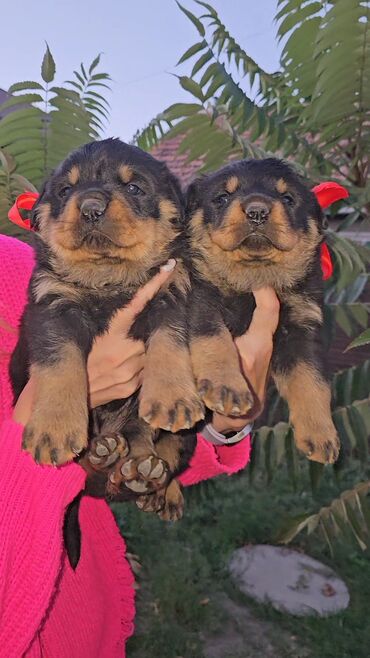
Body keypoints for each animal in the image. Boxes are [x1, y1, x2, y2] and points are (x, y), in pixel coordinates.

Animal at [10, 137, 202, 508]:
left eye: (133, 187)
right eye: (66, 190)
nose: (90, 207)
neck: (108, 279)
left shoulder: (172, 293)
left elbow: (169, 343)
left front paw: (172, 397)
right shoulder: (52, 306)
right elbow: (60, 364)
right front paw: (53, 428)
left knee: (152, 440)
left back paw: (145, 473)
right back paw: (109, 456)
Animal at [186, 158, 340, 462]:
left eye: (288, 198)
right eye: (223, 197)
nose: (257, 211)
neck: (252, 277)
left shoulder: (301, 326)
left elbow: (312, 379)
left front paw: (320, 434)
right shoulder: (199, 299)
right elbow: (215, 340)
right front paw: (227, 386)